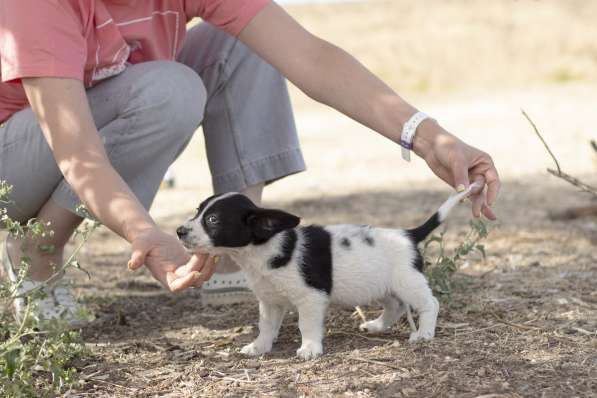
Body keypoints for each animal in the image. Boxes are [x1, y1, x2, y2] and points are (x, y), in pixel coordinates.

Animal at [178, 185, 480, 360]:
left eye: (212, 220)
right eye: (197, 211)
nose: (179, 231)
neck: (263, 249)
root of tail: (409, 234)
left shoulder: (310, 299)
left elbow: (306, 325)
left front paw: (310, 348)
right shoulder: (270, 302)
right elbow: (266, 327)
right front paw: (259, 347)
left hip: (408, 283)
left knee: (431, 303)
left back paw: (424, 333)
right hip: (383, 286)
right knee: (394, 307)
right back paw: (376, 326)